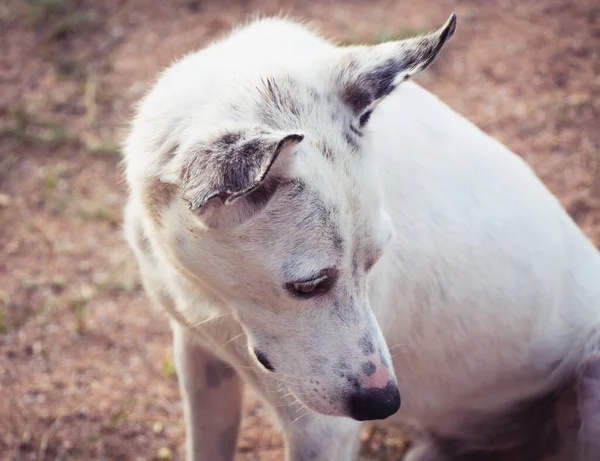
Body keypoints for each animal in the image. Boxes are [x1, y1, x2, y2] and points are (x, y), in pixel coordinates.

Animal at [122, 14, 600, 460]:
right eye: (308, 285)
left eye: (375, 261)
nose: (384, 403)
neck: (215, 297)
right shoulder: (198, 358)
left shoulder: (321, 430)